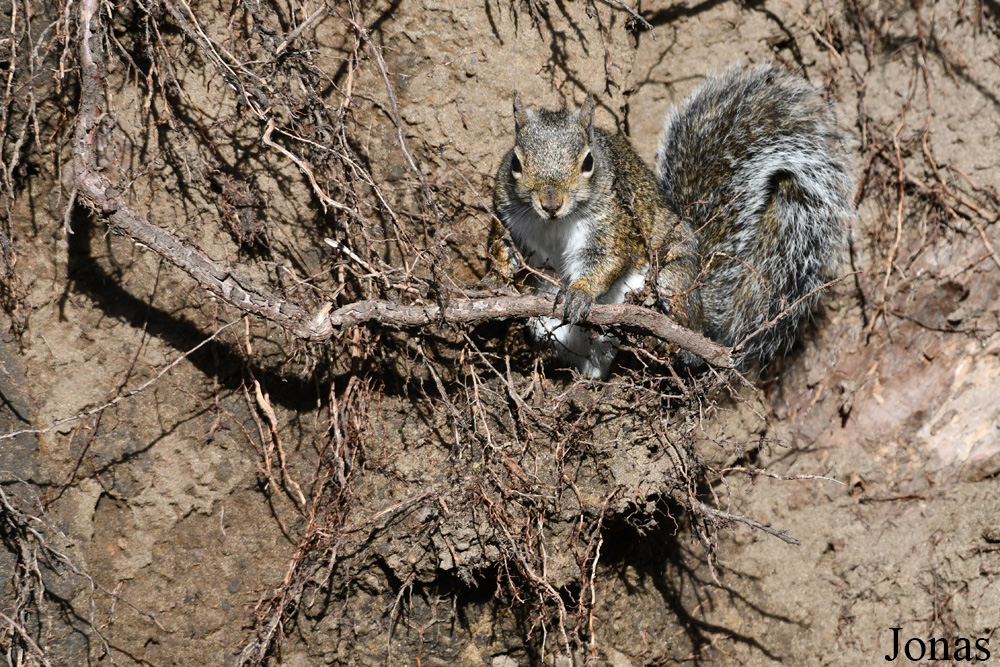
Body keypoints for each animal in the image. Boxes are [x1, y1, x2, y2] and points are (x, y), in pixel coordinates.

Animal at [488, 64, 856, 378]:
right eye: (515, 163)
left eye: (588, 161)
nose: (551, 203)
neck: (553, 225)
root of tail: (703, 314)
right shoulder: (508, 216)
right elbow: (501, 245)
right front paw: (497, 277)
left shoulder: (614, 223)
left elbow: (607, 259)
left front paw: (580, 293)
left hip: (671, 282)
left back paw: (673, 349)